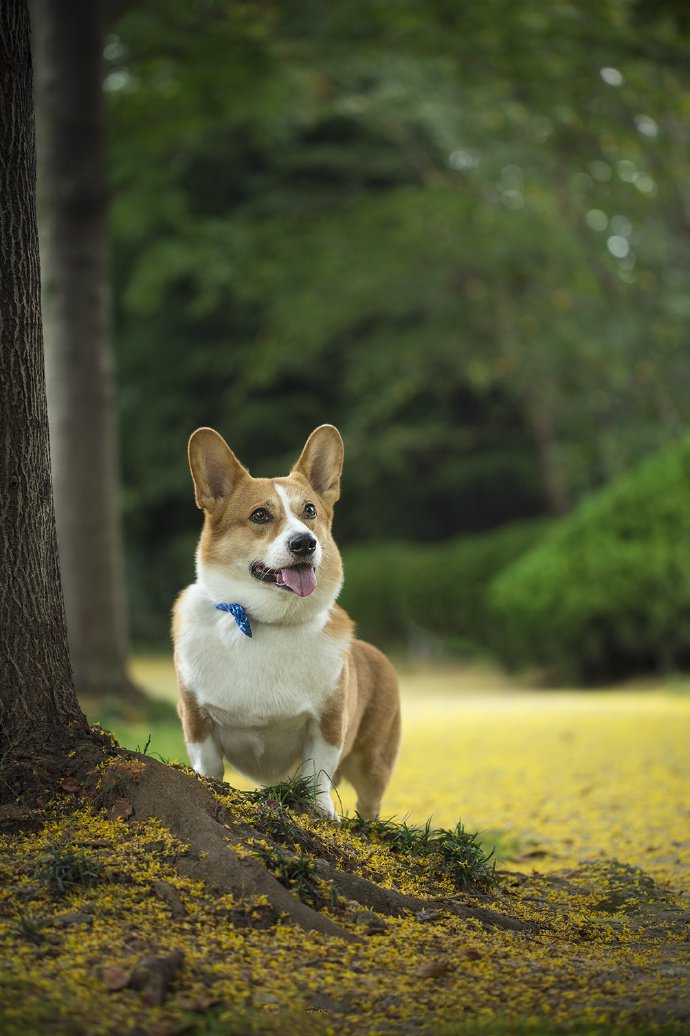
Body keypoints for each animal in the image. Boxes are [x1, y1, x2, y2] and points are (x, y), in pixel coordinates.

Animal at [169, 420, 399, 816]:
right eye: (260, 515)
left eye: (310, 511)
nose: (305, 543)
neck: (268, 621)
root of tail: (375, 653)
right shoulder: (197, 720)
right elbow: (208, 766)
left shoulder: (327, 724)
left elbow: (318, 774)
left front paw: (322, 812)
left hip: (373, 765)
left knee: (369, 806)